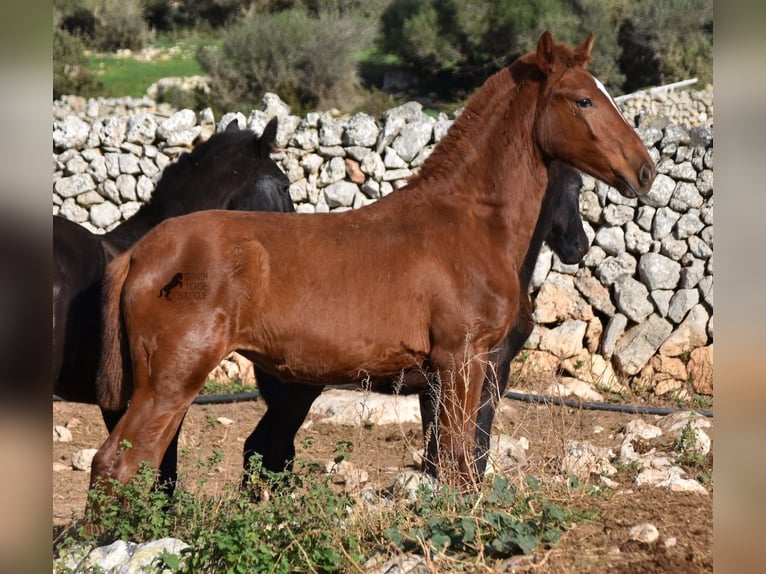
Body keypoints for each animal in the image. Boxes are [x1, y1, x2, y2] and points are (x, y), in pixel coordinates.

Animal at [243, 160, 592, 484]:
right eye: (577, 184)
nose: (580, 246)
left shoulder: (437, 385)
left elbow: (438, 452)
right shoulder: (490, 374)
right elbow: (472, 449)